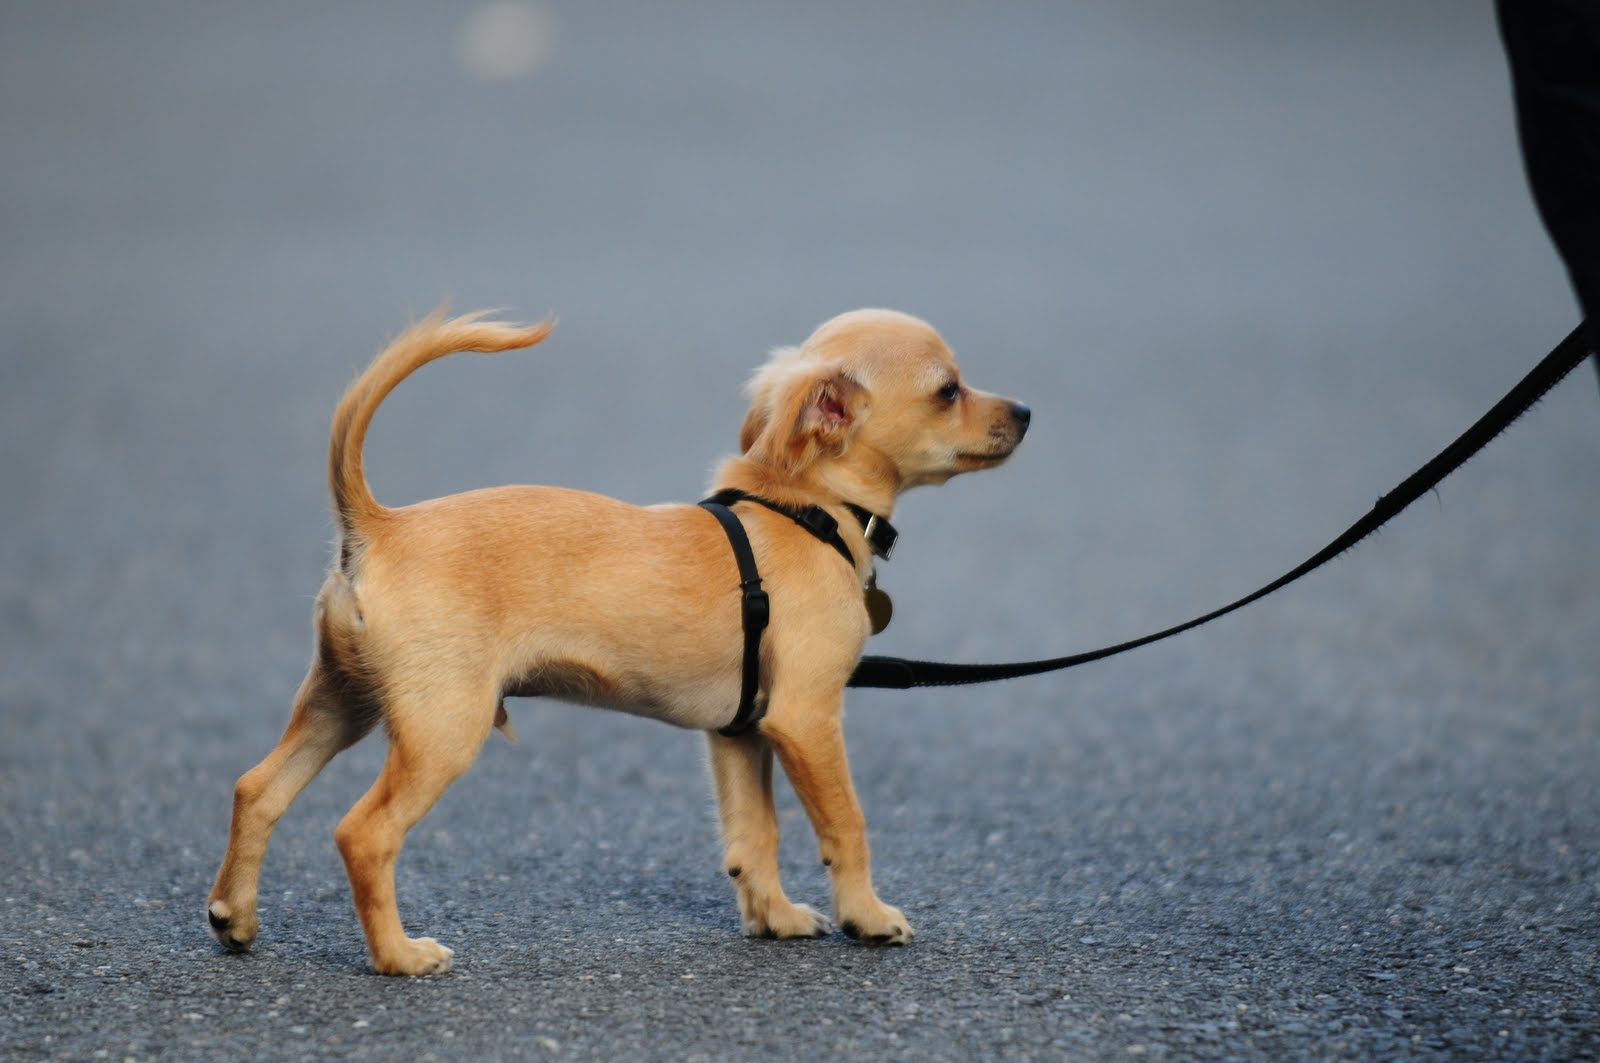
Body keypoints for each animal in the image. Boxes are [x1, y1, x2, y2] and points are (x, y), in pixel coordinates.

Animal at [206, 306, 1029, 975]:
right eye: (949, 390)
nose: (1025, 409)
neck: (806, 509)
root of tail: (378, 526)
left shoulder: (741, 732)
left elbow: (753, 836)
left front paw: (776, 917)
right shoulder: (807, 719)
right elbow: (847, 824)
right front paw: (869, 916)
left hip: (340, 703)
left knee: (257, 788)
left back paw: (233, 917)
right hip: (442, 730)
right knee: (364, 833)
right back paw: (399, 957)